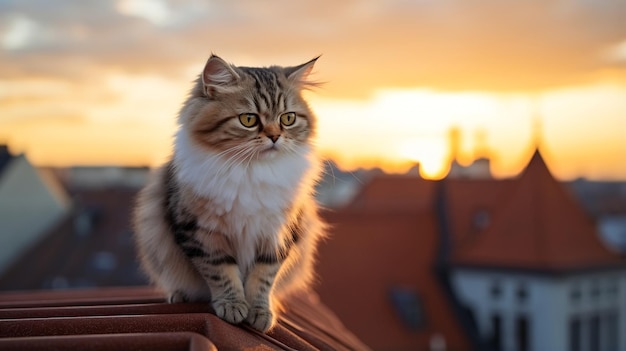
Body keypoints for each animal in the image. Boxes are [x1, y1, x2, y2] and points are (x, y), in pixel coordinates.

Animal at [132, 54, 326, 332]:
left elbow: (263, 277)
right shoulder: (201, 232)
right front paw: (233, 306)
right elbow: (222, 273)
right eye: (249, 119)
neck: (251, 170)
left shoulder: (279, 233)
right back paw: (179, 296)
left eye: (287, 118)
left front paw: (259, 312)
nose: (275, 137)